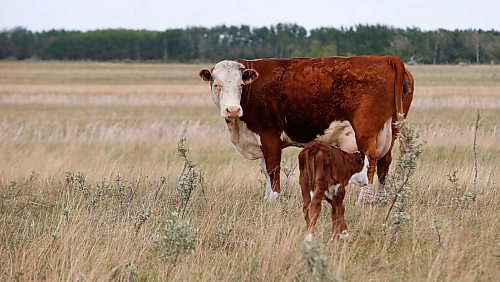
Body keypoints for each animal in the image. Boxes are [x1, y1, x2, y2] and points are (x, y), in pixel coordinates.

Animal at [199, 56, 414, 204]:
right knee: (384, 162)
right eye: (216, 85)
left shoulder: (269, 137)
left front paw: (274, 200)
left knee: (370, 161)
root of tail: (386, 58)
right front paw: (267, 199)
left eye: (241, 85)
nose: (233, 109)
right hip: (391, 128)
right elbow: (265, 169)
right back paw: (380, 199)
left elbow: (272, 169)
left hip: (366, 130)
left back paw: (363, 201)